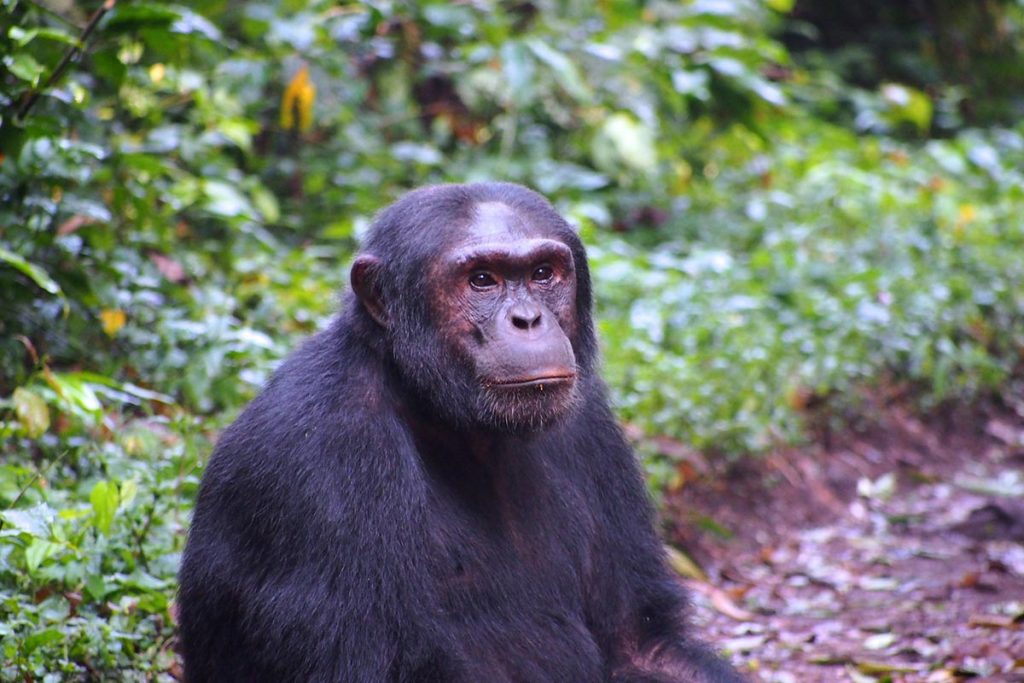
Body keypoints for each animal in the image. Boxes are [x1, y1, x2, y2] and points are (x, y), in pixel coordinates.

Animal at [178, 183, 745, 683]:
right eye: (482, 280)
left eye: (543, 273)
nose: (527, 319)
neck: (446, 416)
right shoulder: (321, 455)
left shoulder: (593, 426)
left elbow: (639, 642)